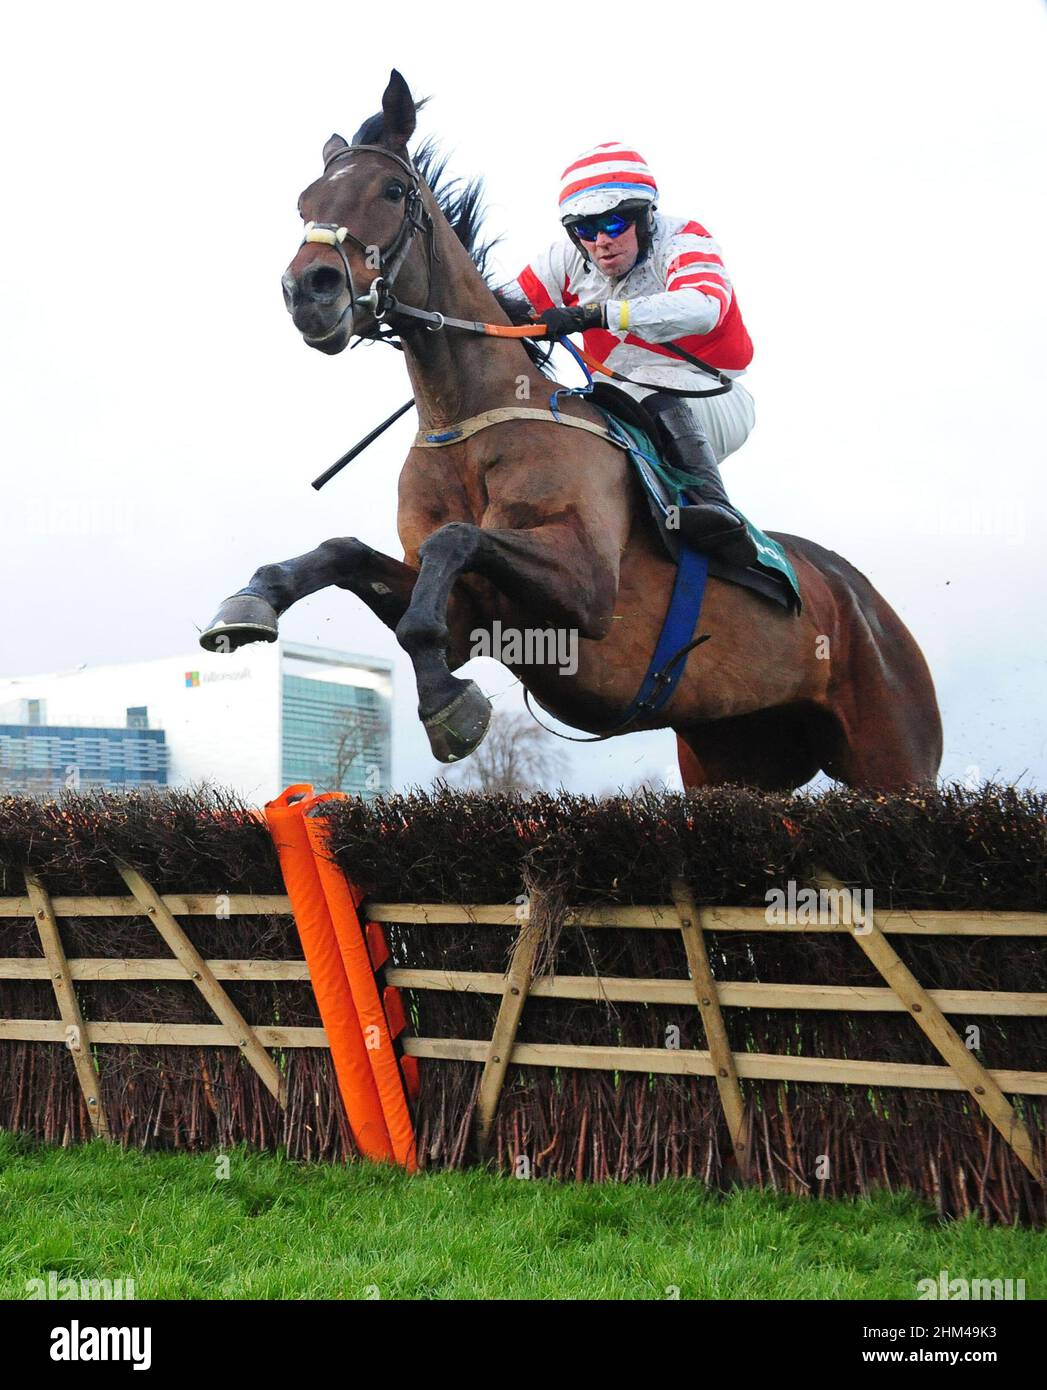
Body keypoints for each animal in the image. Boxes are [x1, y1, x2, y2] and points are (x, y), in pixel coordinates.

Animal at [197, 70, 939, 795]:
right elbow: (348, 554)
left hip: (896, 760)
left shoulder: (586, 588)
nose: (309, 291)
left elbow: (453, 540)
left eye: (393, 190)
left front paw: (448, 706)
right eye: (305, 201)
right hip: (732, 760)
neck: (465, 419)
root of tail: (863, 598)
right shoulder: (468, 613)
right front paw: (250, 601)